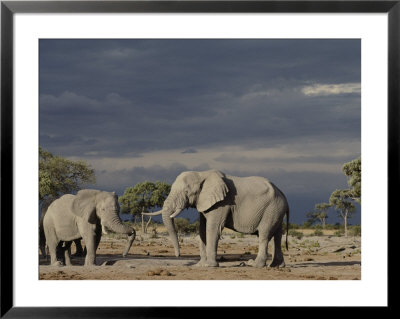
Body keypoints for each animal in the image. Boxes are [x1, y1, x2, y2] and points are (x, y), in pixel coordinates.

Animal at [144, 171, 288, 268]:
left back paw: (254, 264)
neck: (201, 174)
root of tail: (283, 195)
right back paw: (277, 266)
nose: (178, 255)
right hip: (276, 210)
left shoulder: (222, 203)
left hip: (271, 209)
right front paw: (200, 265)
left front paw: (210, 266)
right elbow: (202, 230)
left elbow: (213, 228)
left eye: (186, 192)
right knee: (276, 236)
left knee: (264, 235)